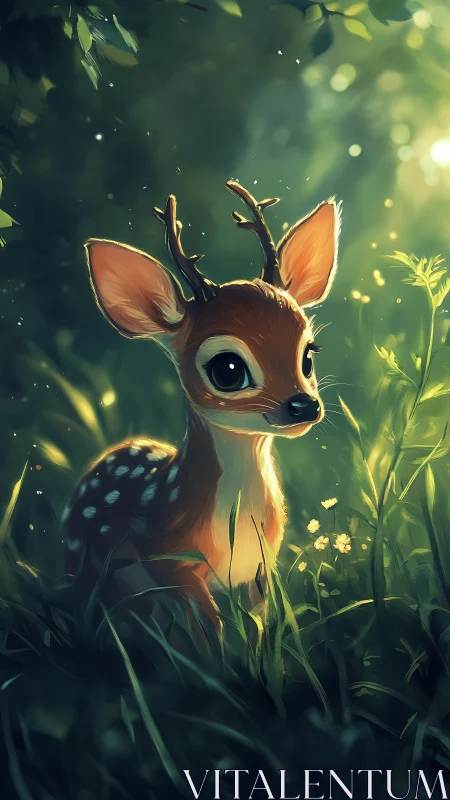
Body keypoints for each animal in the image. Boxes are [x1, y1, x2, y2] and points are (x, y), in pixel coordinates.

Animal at [62, 180, 341, 637]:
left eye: (309, 355)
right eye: (227, 369)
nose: (304, 405)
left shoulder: (261, 567)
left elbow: (259, 629)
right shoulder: (170, 562)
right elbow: (210, 635)